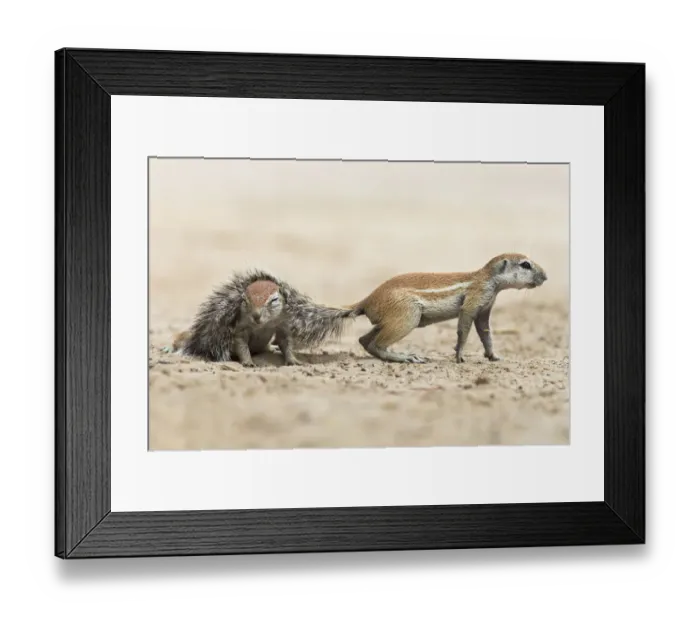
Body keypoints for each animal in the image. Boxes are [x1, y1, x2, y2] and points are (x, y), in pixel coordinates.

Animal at [167, 269, 357, 367]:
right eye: (244, 300)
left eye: (274, 300)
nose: (256, 315)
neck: (263, 324)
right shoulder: (239, 329)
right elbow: (241, 345)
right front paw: (248, 362)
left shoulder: (283, 324)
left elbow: (285, 342)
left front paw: (293, 360)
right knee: (183, 337)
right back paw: (169, 347)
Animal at [346, 253, 548, 364]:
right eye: (525, 264)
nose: (546, 277)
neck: (487, 279)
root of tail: (367, 300)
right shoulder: (473, 302)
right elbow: (463, 329)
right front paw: (459, 357)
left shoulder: (484, 309)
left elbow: (485, 334)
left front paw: (494, 356)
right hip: (407, 316)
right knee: (376, 343)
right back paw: (405, 358)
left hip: (390, 320)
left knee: (364, 340)